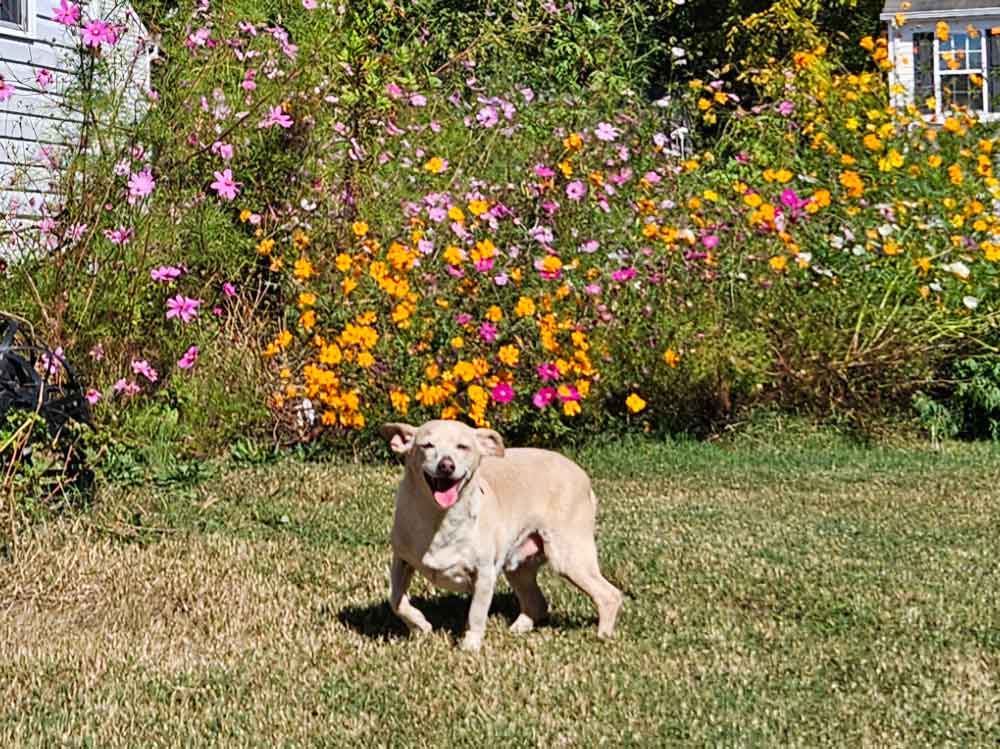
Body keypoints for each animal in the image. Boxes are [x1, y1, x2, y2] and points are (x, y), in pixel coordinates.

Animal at [380, 418, 620, 652]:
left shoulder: (484, 574)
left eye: (463, 447)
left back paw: (603, 636)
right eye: (427, 445)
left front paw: (470, 646)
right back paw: (518, 628)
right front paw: (420, 626)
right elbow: (396, 599)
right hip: (519, 567)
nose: (446, 465)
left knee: (609, 595)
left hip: (569, 557)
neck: (440, 519)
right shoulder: (401, 560)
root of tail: (582, 475)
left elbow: (476, 613)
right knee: (536, 602)